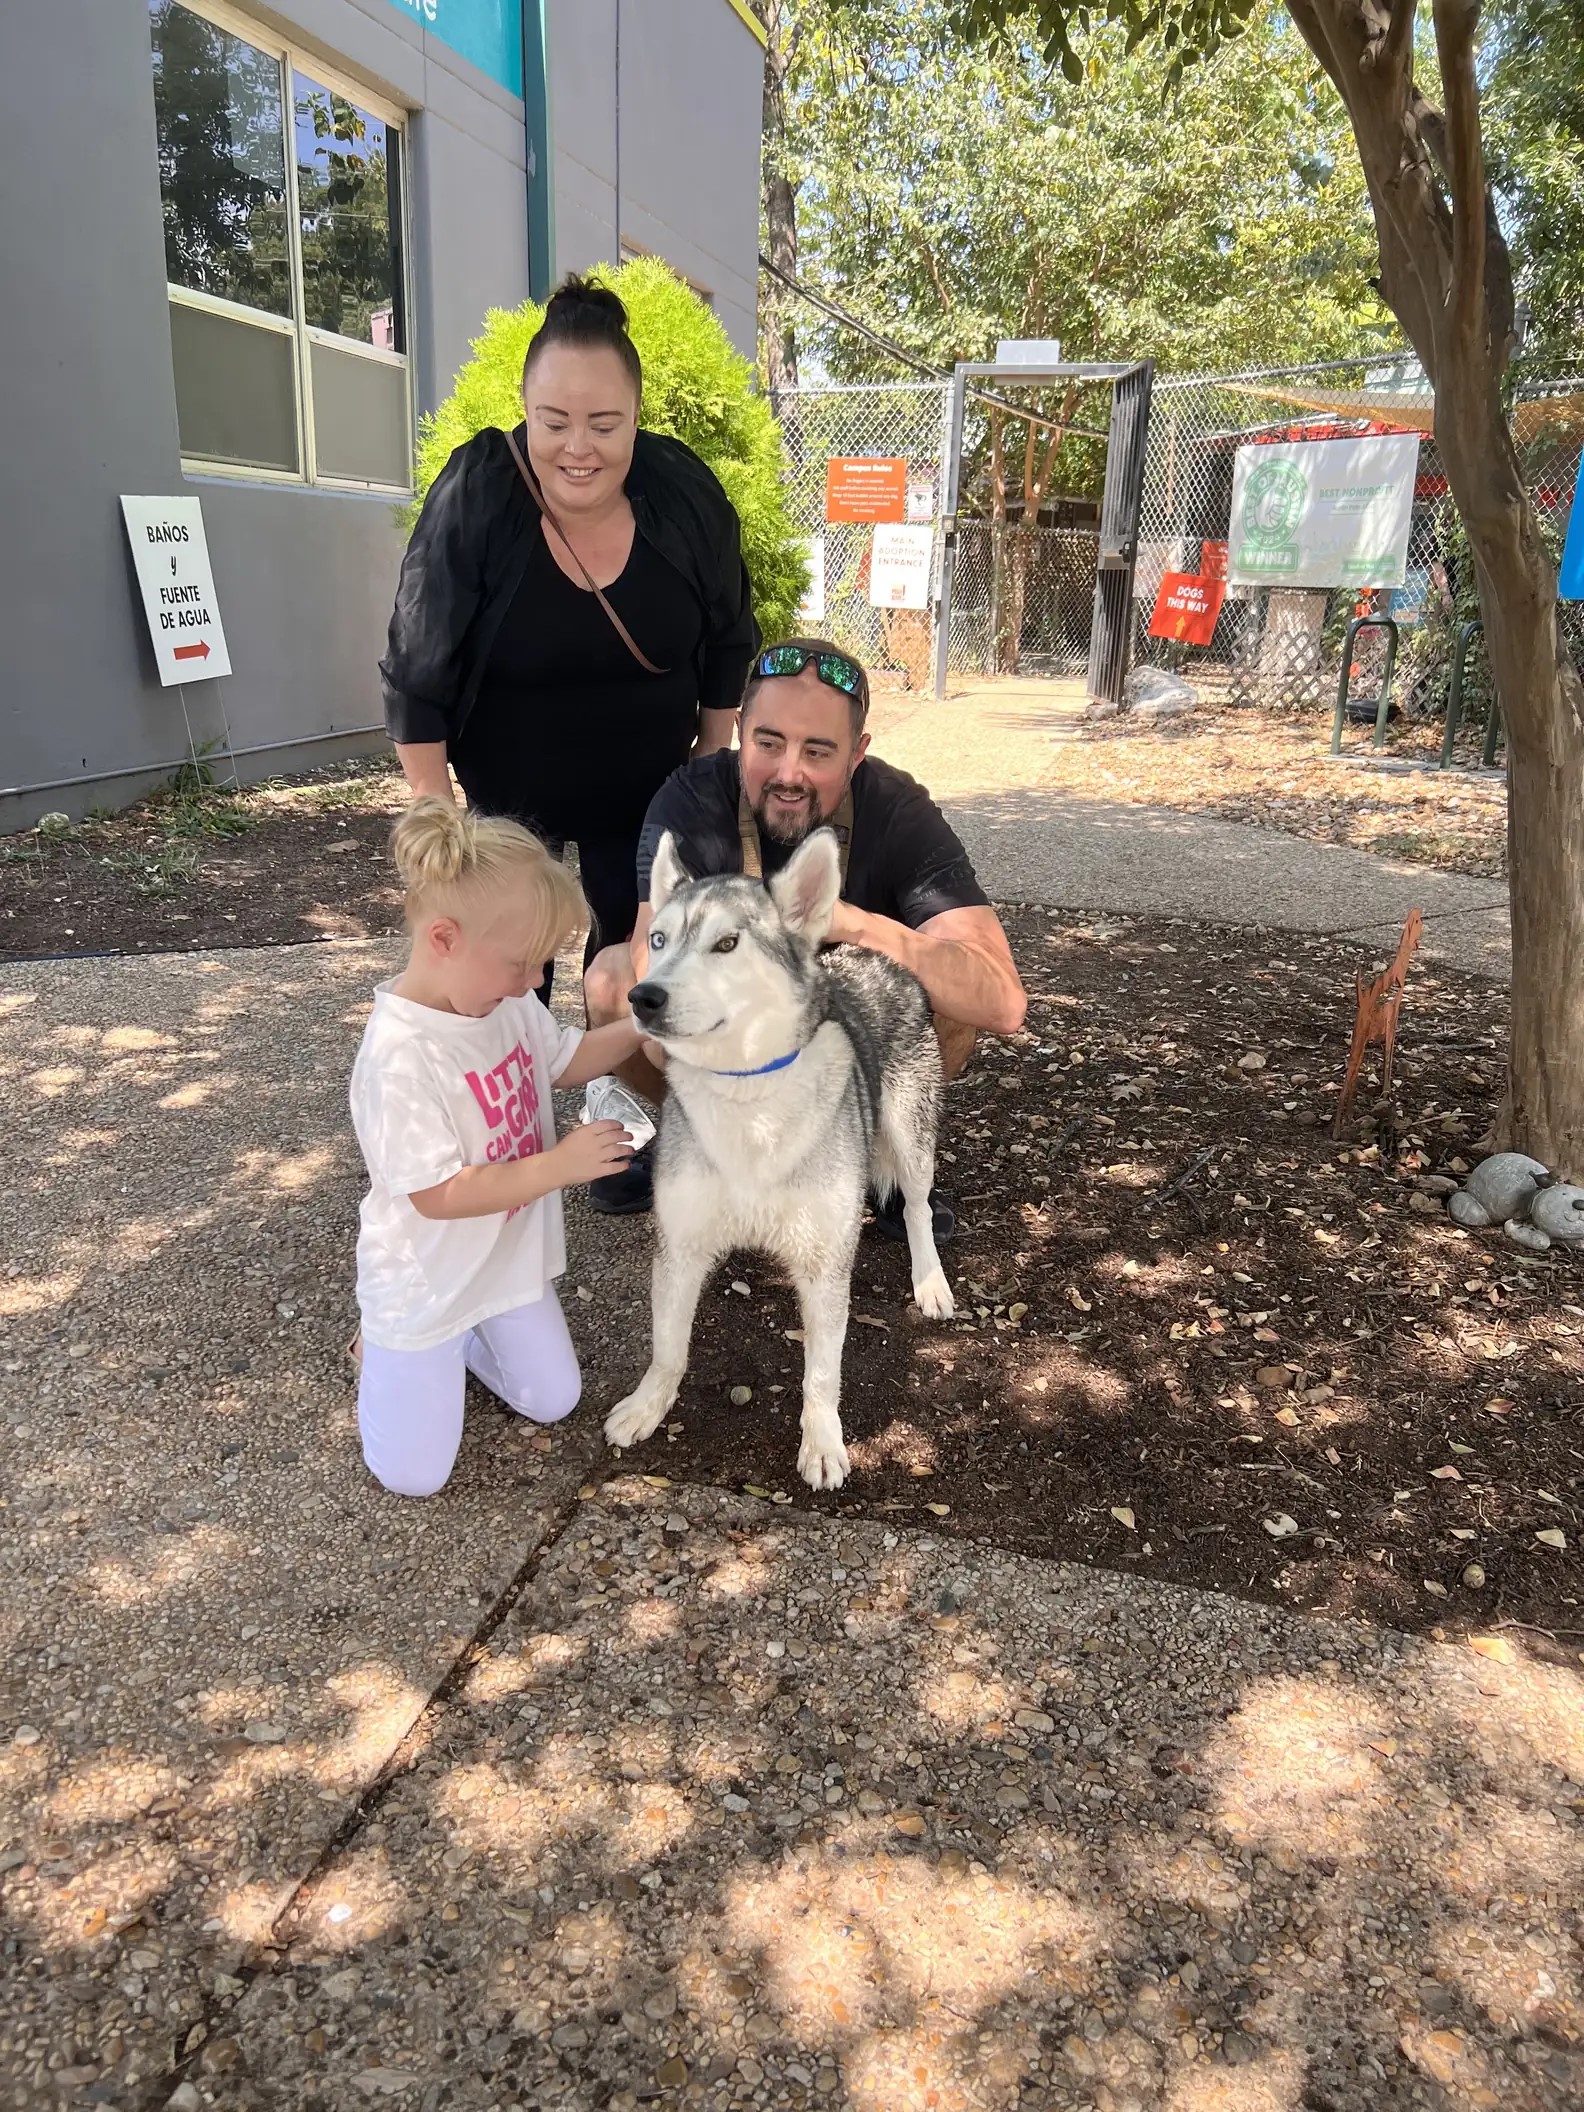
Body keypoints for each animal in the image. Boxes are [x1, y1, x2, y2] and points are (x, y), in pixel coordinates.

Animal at [604, 823, 954, 1486]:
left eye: (727, 944)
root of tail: (879, 958)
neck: (748, 1098)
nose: (643, 997)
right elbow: (668, 1347)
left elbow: (821, 1374)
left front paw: (822, 1442)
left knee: (918, 1206)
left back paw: (930, 1281)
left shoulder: (823, 1266)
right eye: (658, 940)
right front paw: (648, 1405)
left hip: (910, 1136)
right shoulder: (680, 1247)